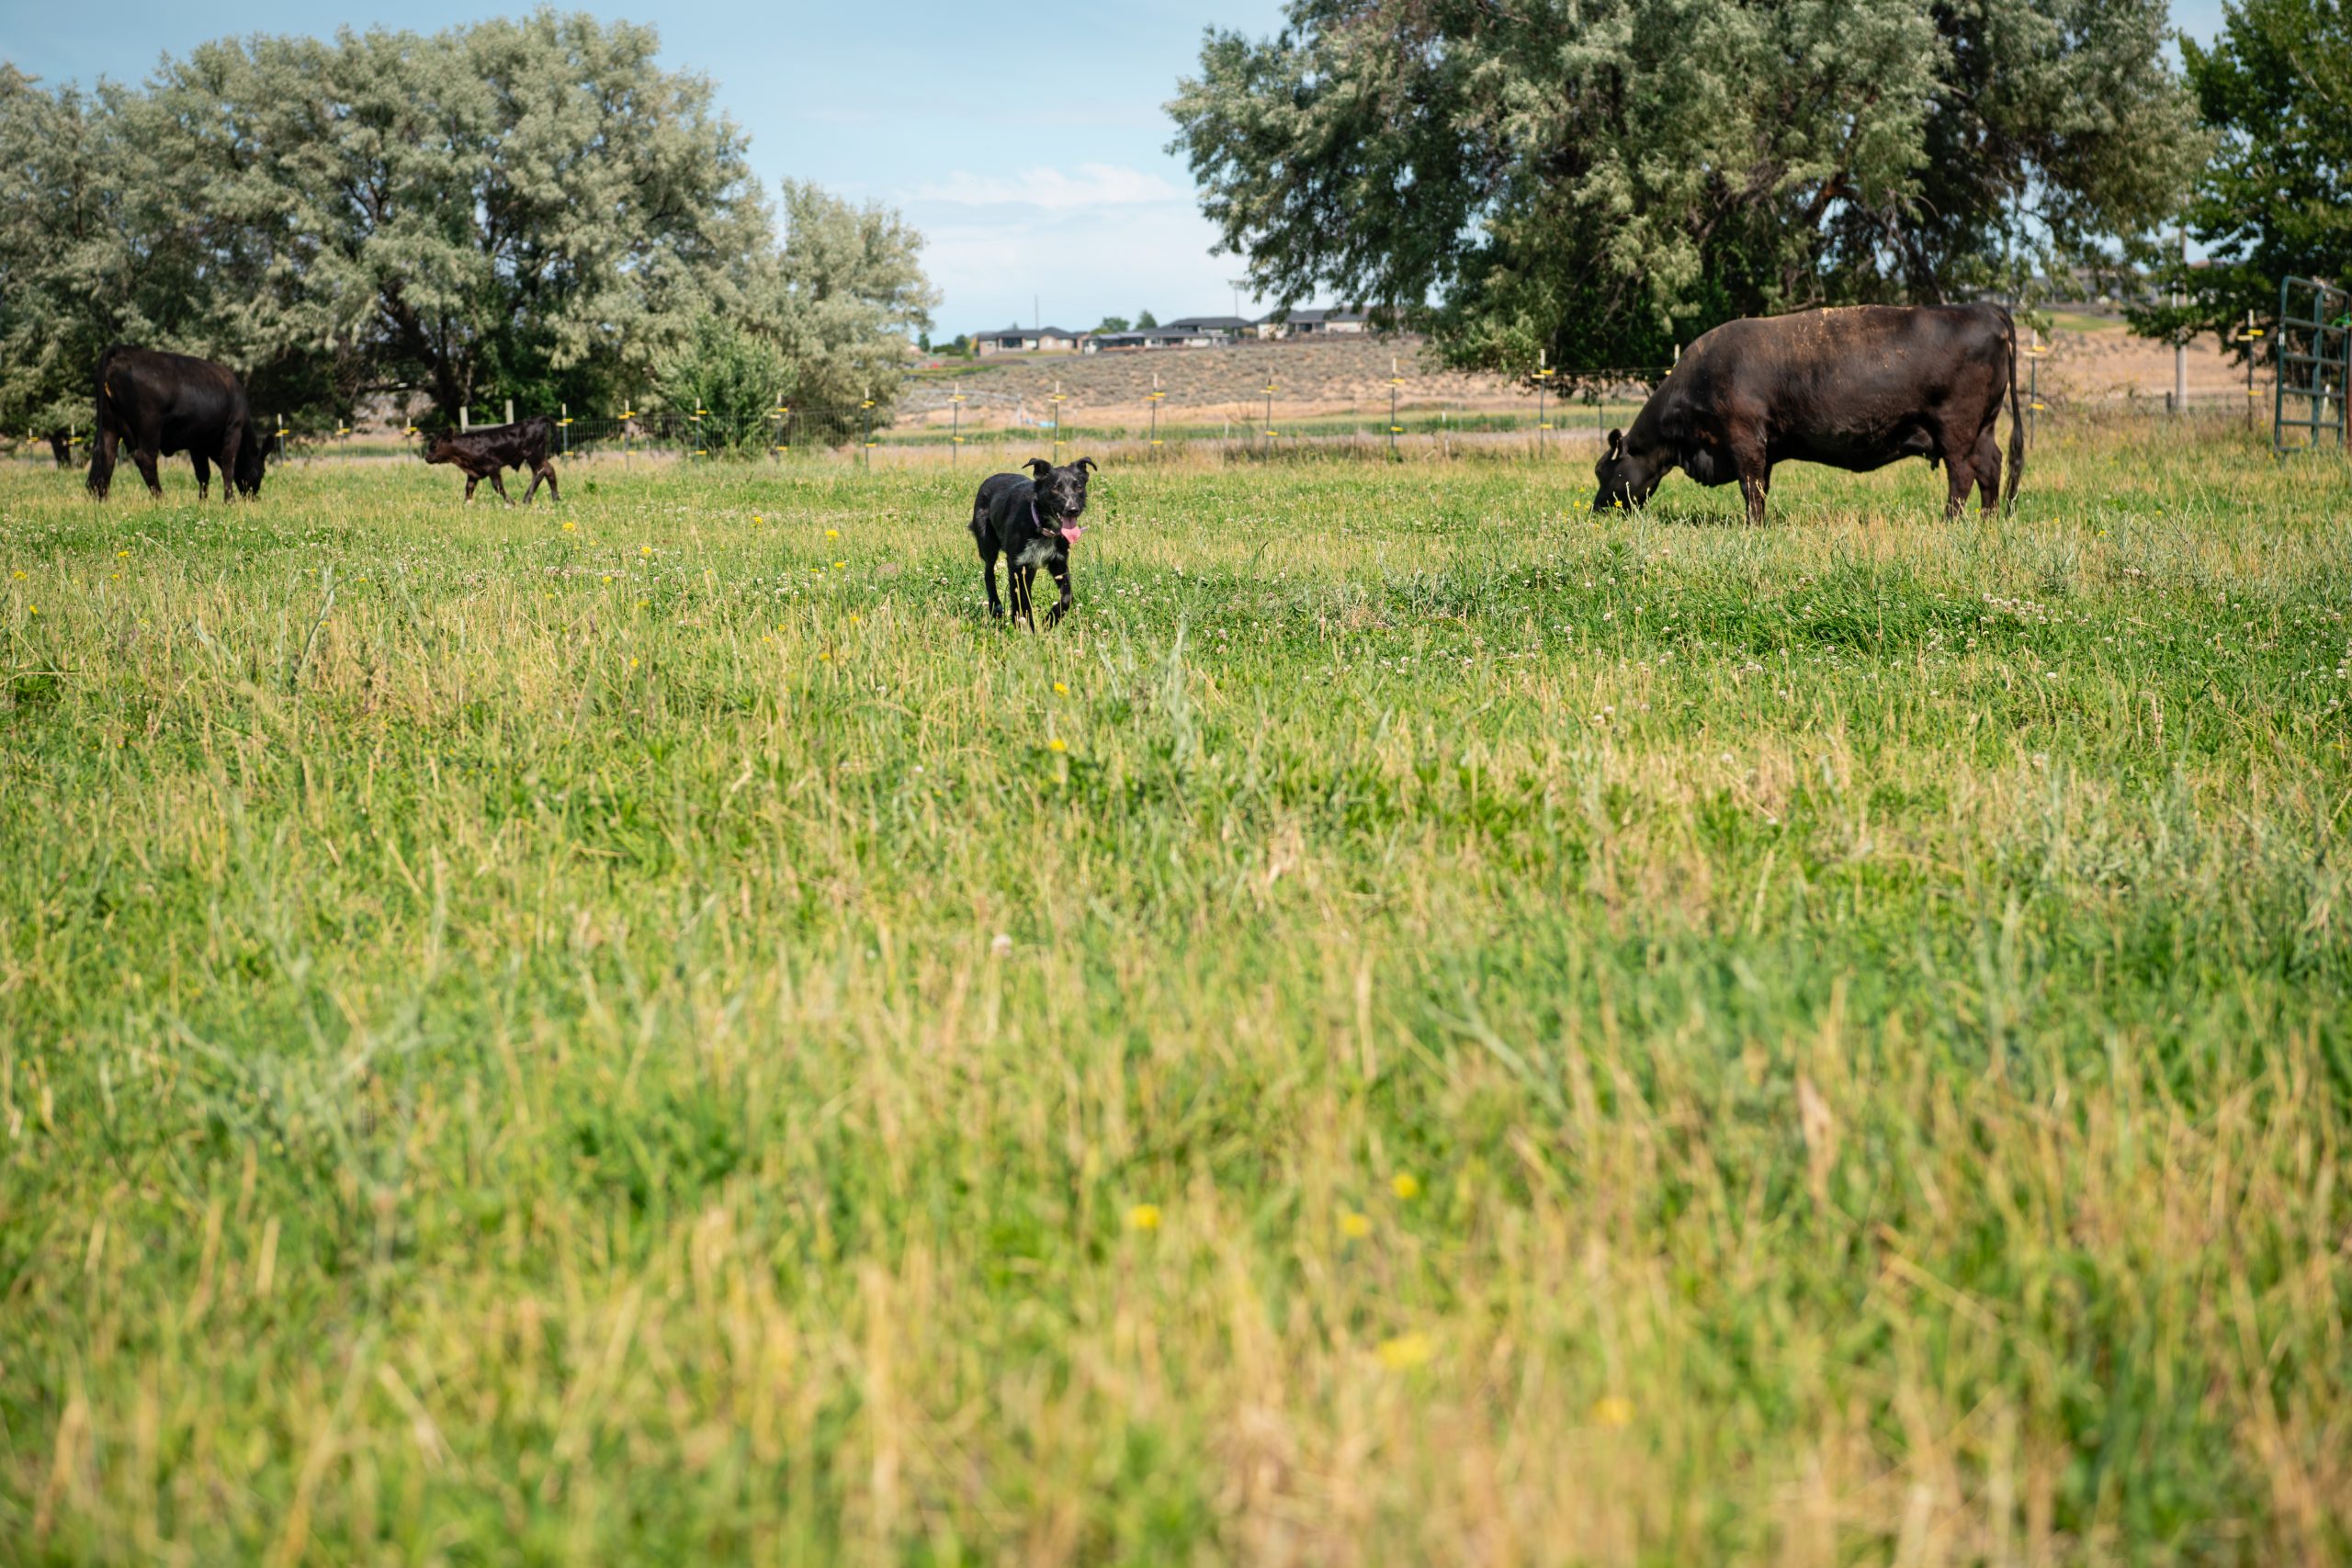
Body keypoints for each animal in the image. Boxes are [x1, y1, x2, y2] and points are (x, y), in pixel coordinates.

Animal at [87, 346, 268, 502]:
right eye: (260, 471)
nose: (254, 497)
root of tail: (121, 349)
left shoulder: (197, 443)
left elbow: (203, 473)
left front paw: (203, 501)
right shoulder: (234, 427)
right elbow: (228, 464)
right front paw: (229, 500)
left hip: (109, 425)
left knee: (107, 456)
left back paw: (103, 499)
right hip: (150, 426)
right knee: (145, 458)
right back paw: (161, 498)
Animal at [422, 416, 559, 504]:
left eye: (434, 446)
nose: (427, 457)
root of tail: (537, 419)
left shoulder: (492, 466)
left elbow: (497, 486)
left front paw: (511, 502)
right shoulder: (473, 472)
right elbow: (469, 488)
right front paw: (465, 504)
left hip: (533, 454)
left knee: (540, 471)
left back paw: (526, 499)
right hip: (538, 455)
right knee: (549, 470)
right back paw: (556, 499)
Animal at [1593, 304, 2023, 524]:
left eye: (1603, 471)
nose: (1598, 510)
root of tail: (1984, 310)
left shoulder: (1744, 440)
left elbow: (1751, 488)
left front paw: (1754, 526)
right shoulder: (1761, 448)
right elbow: (1760, 486)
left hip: (1956, 429)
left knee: (1962, 475)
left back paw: (1950, 521)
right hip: (1983, 428)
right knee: (1991, 467)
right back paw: (1988, 521)